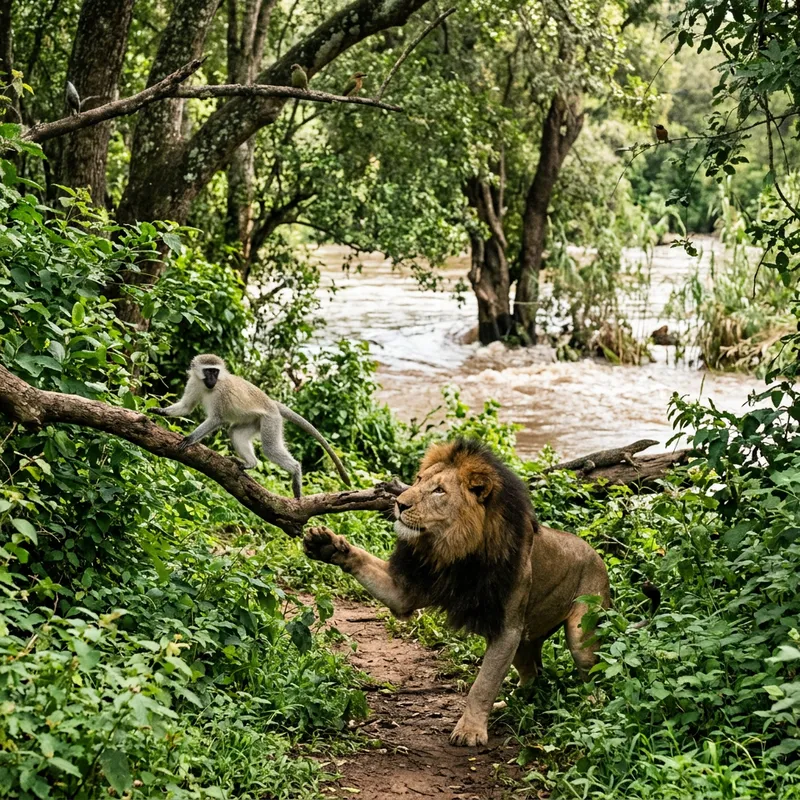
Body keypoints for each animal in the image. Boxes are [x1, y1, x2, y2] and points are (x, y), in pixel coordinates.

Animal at [150, 354, 351, 499]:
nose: (212, 379)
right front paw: (159, 411)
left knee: (270, 448)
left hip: (271, 421)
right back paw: (250, 463)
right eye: (208, 371)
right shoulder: (194, 382)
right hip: (255, 421)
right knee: (235, 433)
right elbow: (186, 407)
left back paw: (295, 471)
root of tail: (272, 403)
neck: (208, 387)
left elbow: (217, 419)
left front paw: (189, 438)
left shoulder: (221, 395)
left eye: (216, 372)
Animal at [304, 438, 653, 747]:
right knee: (534, 675)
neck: (452, 551)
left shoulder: (507, 629)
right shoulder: (407, 590)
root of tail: (599, 557)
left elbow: (483, 684)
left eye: (439, 490)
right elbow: (365, 563)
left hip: (580, 633)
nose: (400, 504)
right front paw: (326, 544)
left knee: (596, 674)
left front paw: (470, 731)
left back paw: (591, 707)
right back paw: (510, 704)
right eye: (417, 480)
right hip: (526, 642)